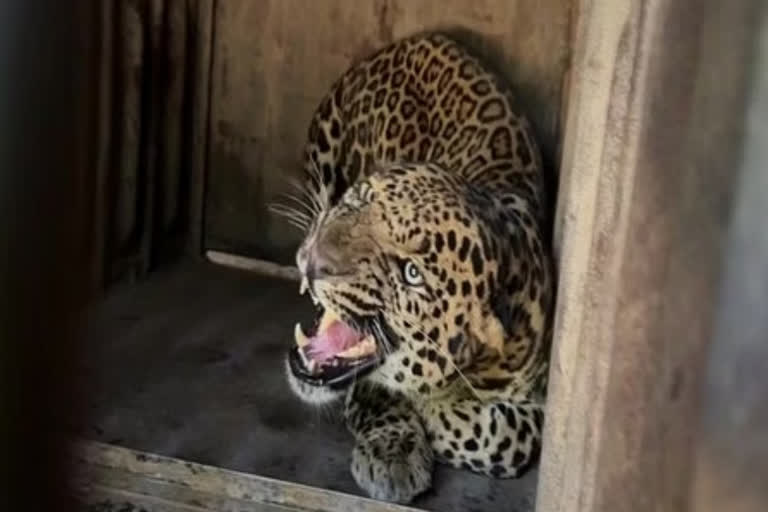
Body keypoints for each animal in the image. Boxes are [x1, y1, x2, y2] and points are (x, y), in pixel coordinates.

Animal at [274, 31, 552, 504]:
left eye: (411, 273)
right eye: (358, 200)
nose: (312, 262)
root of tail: (421, 38)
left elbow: (500, 439)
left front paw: (434, 408)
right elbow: (382, 394)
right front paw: (394, 454)